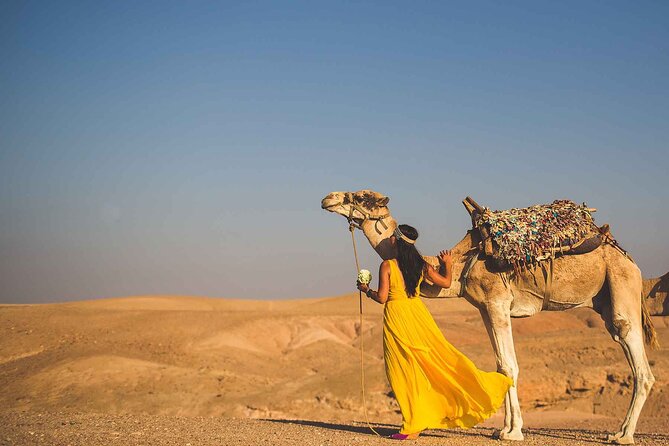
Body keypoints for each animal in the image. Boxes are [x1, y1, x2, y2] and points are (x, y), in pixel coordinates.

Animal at [321, 189, 658, 445]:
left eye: (362, 197)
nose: (329, 198)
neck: (462, 263)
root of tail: (630, 259)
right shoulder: (485, 308)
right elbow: (500, 366)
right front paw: (504, 428)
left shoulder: (497, 302)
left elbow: (510, 366)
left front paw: (513, 432)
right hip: (605, 298)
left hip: (621, 283)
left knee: (638, 358)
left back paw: (623, 436)